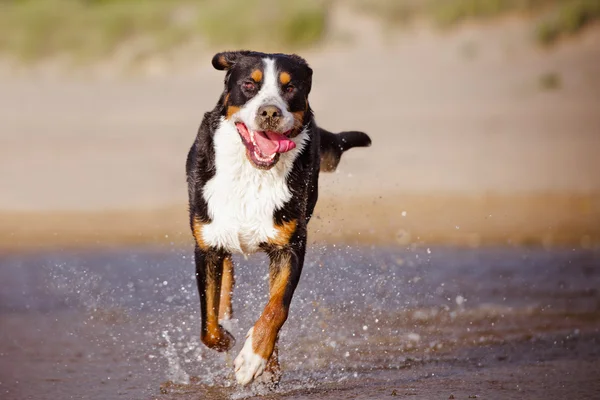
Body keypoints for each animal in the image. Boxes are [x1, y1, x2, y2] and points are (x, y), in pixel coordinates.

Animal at [185, 51, 370, 386]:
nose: (269, 111)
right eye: (249, 84)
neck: (252, 174)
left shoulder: (290, 246)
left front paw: (254, 358)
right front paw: (228, 339)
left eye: (290, 87)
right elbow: (208, 324)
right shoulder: (206, 245)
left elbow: (277, 308)